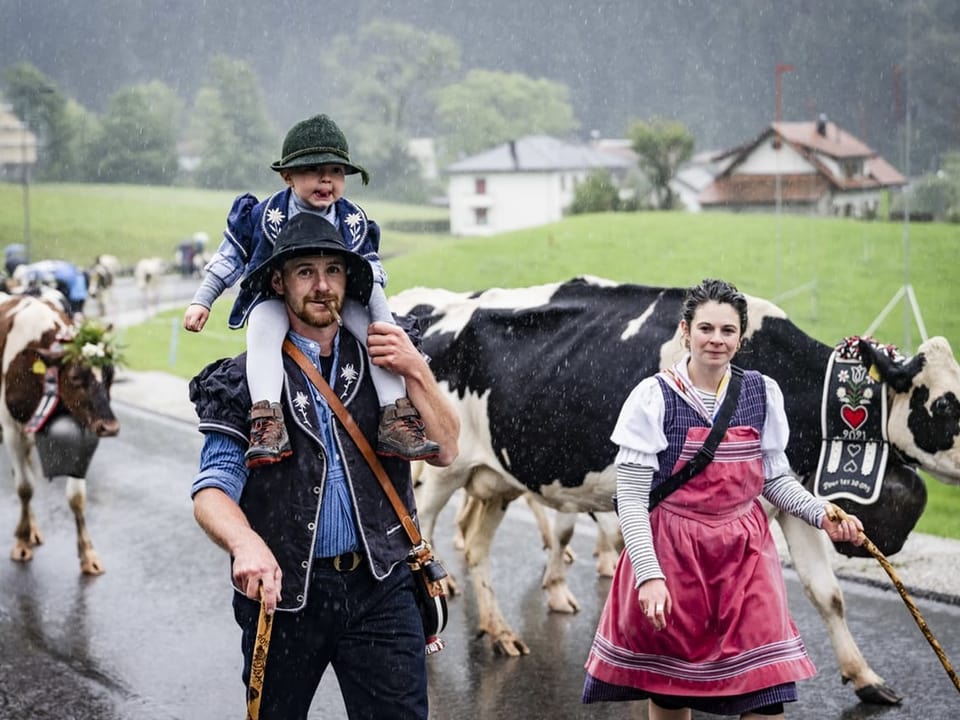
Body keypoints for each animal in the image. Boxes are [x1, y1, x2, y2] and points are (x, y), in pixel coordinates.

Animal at [0, 292, 121, 572]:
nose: (109, 427)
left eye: (110, 374)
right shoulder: (10, 428)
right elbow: (24, 487)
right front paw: (21, 542)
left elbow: (77, 497)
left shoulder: (83, 428)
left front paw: (88, 553)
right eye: (76, 377)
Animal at [390, 278, 960, 708]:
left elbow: (829, 594)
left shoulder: (789, 492)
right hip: (441, 471)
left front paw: (865, 678)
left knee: (477, 546)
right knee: (431, 535)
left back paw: (500, 631)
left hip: (499, 477)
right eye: (945, 404)